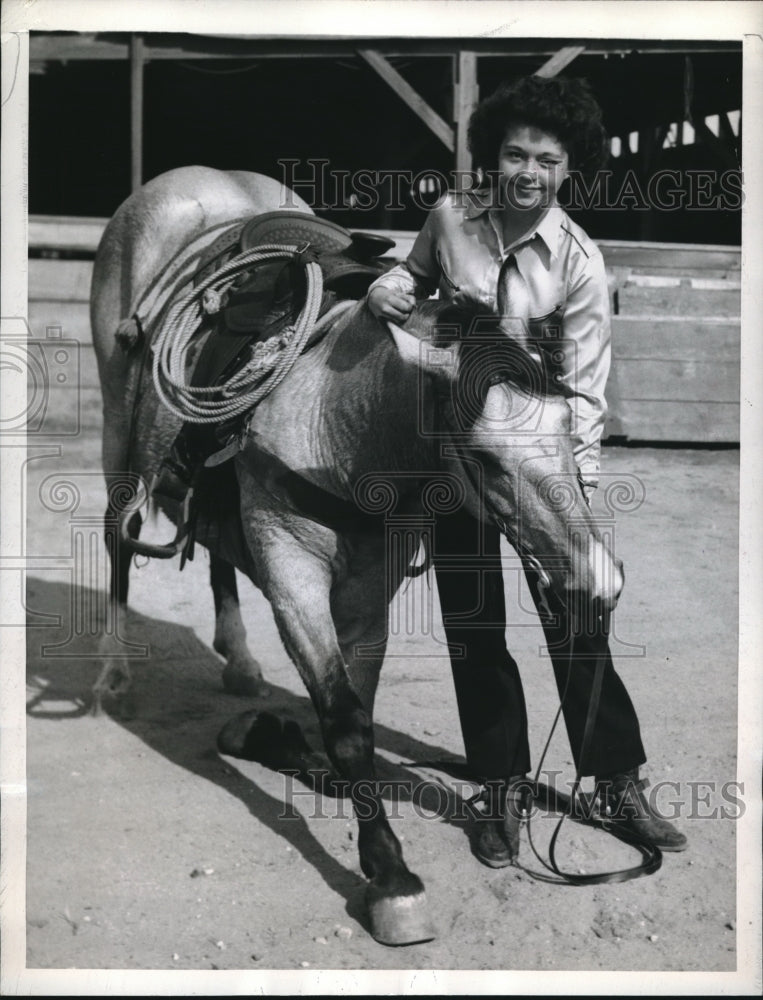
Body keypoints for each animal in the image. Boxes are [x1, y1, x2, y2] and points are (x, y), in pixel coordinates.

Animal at [92, 164, 624, 944]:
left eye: (566, 420)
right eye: (485, 460)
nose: (599, 580)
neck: (336, 424)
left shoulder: (369, 591)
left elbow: (359, 709)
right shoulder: (293, 575)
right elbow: (345, 721)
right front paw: (391, 877)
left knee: (215, 550)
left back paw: (240, 661)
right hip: (117, 432)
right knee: (115, 540)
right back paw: (113, 673)